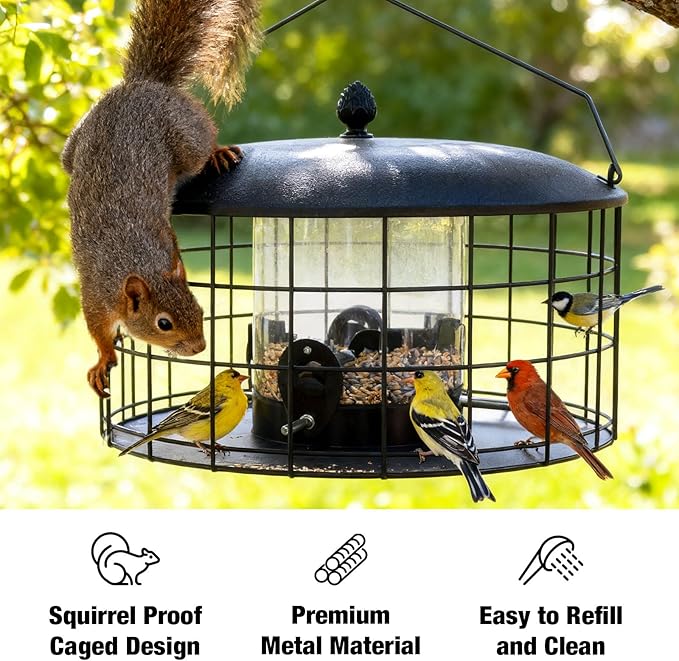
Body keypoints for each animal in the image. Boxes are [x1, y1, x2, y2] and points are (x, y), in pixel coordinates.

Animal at [62, 0, 261, 397]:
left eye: (200, 309)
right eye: (164, 323)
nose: (200, 347)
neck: (139, 263)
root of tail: (143, 83)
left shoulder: (165, 246)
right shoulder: (95, 297)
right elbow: (98, 331)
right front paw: (103, 360)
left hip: (184, 138)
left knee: (205, 140)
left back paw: (218, 153)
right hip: (73, 149)